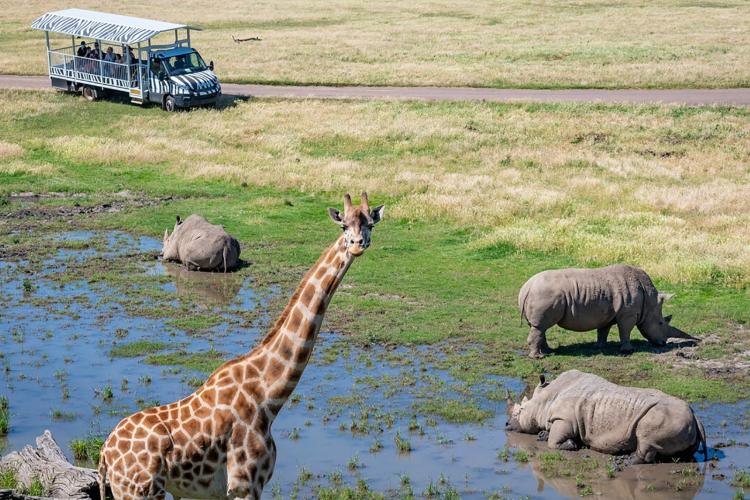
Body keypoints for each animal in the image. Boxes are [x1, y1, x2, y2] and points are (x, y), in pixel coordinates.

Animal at [97, 193, 384, 498]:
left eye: (370, 224)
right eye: (343, 225)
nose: (357, 245)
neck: (269, 397)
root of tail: (104, 455)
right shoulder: (245, 484)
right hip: (139, 490)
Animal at [506, 370, 712, 462]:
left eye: (520, 410)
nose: (507, 424)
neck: (545, 400)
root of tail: (695, 416)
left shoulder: (565, 419)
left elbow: (554, 442)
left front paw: (570, 444)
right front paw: (543, 435)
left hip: (665, 417)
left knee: (647, 438)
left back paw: (628, 460)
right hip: (682, 420)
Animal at [520, 264, 696, 358]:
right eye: (660, 323)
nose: (663, 343)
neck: (648, 302)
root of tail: (527, 287)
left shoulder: (607, 313)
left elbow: (603, 330)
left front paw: (600, 347)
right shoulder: (628, 314)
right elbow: (625, 331)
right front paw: (628, 350)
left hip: (540, 294)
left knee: (539, 327)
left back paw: (549, 352)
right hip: (545, 294)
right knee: (540, 326)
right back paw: (539, 357)